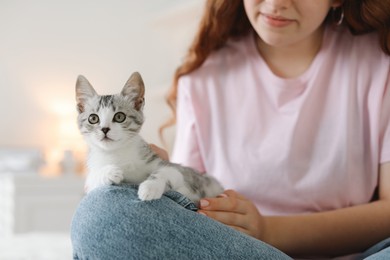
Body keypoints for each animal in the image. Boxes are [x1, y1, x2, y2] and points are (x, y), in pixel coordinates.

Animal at [74, 72, 224, 204]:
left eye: (119, 116)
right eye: (93, 118)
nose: (104, 129)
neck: (118, 154)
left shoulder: (173, 169)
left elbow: (165, 172)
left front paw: (149, 187)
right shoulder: (90, 182)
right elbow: (91, 181)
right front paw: (108, 172)